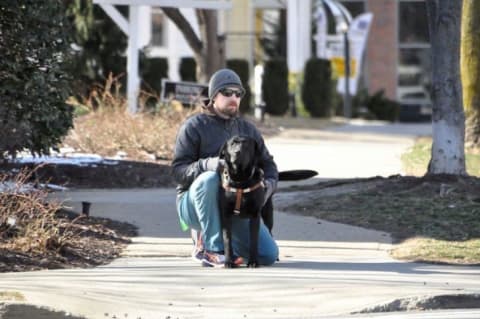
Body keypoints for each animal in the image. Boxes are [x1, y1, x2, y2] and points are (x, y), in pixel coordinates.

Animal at [219, 134, 316, 268]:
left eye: (246, 144)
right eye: (232, 144)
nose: (237, 152)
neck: (240, 181)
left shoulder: (255, 215)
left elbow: (254, 240)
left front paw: (253, 261)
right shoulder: (226, 215)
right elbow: (227, 239)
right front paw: (228, 261)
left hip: (268, 214)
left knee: (270, 232)